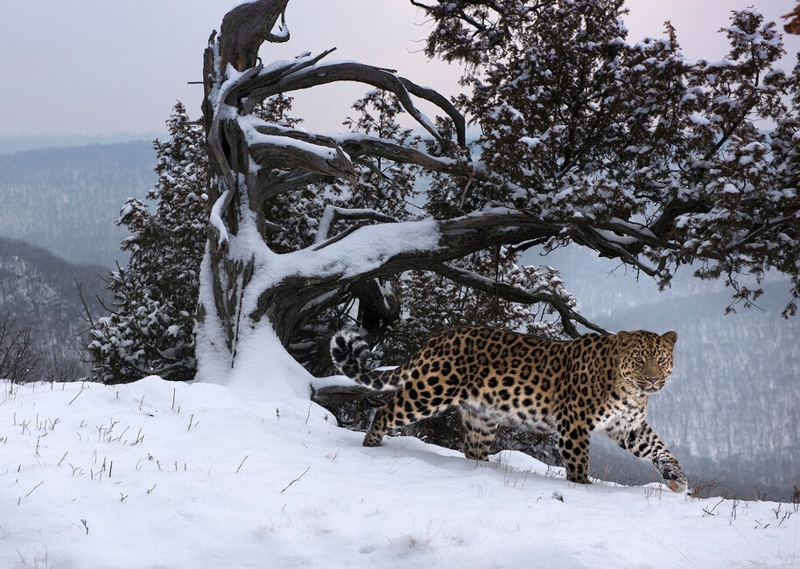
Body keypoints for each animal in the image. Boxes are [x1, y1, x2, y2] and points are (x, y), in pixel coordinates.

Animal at [332, 326, 688, 490]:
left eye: (661, 360)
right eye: (640, 360)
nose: (653, 380)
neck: (629, 390)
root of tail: (437, 338)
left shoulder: (628, 426)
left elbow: (658, 447)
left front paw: (677, 477)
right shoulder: (575, 423)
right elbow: (578, 462)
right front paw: (582, 489)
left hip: (482, 418)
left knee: (472, 449)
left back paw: (483, 472)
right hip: (429, 392)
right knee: (385, 411)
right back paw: (370, 447)